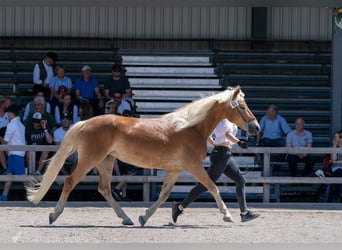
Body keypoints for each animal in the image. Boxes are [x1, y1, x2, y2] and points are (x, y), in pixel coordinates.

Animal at [26, 85, 260, 227]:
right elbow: (212, 187)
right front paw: (227, 215)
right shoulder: (193, 167)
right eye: (241, 106)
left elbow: (164, 195)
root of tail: (85, 122)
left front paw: (144, 217)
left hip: (106, 161)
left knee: (104, 188)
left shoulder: (175, 170)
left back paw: (127, 218)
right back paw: (54, 214)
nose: (256, 127)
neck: (191, 128)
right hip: (89, 160)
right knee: (70, 181)